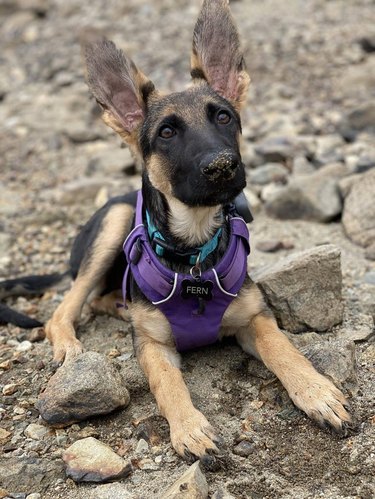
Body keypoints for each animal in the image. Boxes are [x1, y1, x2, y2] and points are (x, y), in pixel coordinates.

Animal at [8, 0, 352, 464]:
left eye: (223, 117)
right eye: (167, 132)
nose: (222, 166)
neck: (193, 255)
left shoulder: (255, 317)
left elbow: (285, 350)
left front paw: (317, 392)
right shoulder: (153, 349)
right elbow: (168, 384)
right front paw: (189, 428)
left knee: (96, 298)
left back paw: (120, 306)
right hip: (115, 221)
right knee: (67, 306)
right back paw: (70, 340)